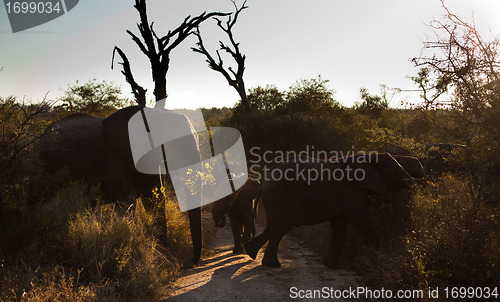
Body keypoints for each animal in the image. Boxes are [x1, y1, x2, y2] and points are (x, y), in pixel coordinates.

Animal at [35, 107, 204, 264]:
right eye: (173, 145)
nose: (192, 261)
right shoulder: (114, 161)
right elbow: (126, 202)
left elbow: (154, 201)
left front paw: (164, 257)